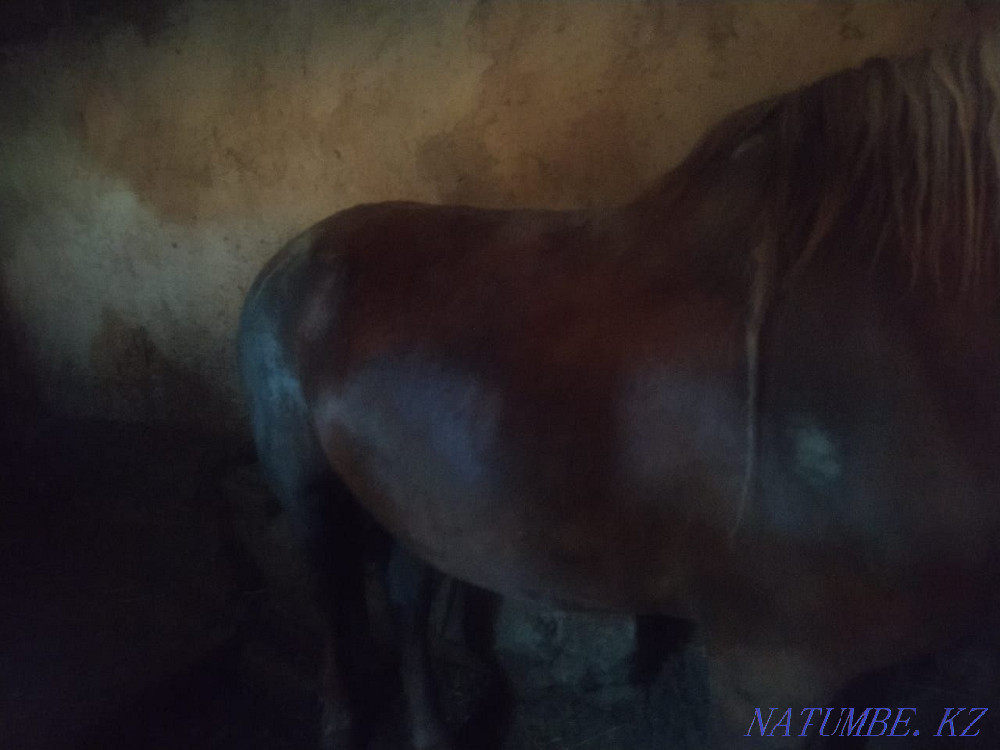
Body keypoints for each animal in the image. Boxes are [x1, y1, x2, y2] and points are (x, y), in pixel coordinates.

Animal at [238, 33, 1000, 749]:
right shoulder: (772, 668)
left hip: (410, 504)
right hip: (309, 493)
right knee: (332, 597)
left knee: (405, 603)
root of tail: (291, 256)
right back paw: (340, 723)